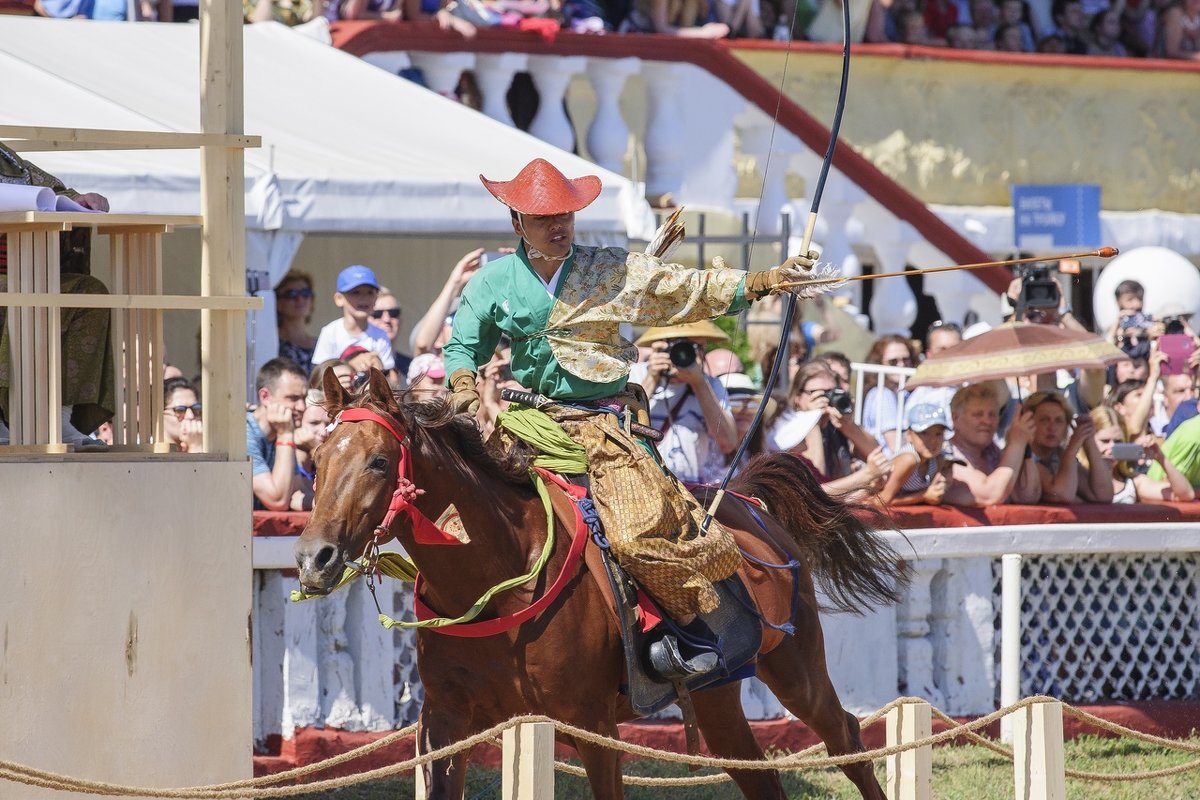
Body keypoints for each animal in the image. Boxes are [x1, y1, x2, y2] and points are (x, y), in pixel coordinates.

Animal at [295, 371, 902, 796]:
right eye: (317, 459)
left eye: (378, 461)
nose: (313, 557)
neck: (500, 585)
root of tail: (746, 499)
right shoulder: (447, 722)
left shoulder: (592, 723)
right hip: (718, 696)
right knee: (762, 777)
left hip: (797, 668)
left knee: (846, 737)